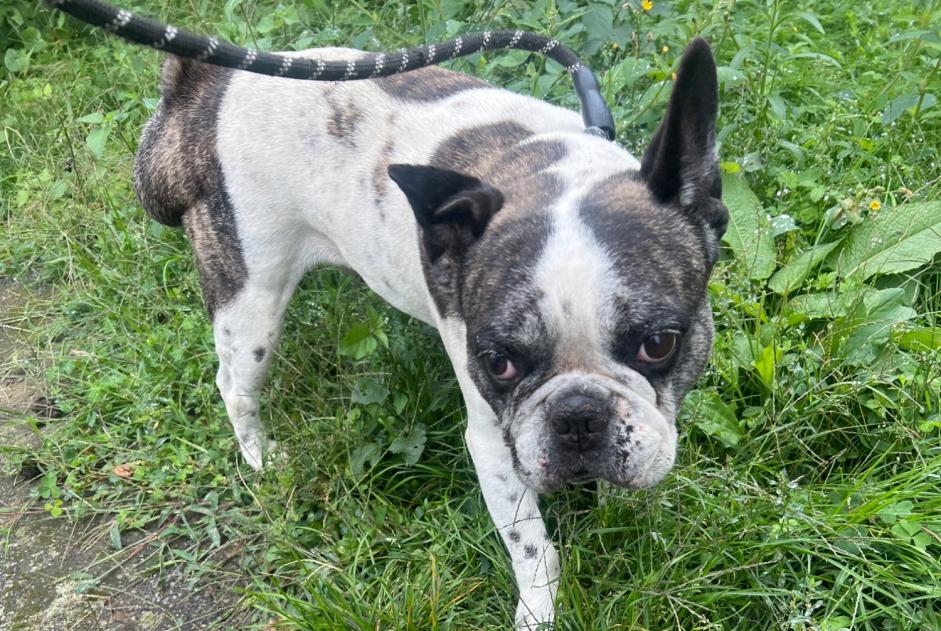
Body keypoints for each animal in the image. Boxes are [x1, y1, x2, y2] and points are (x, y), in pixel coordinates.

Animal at [134, 38, 728, 628]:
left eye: (659, 344)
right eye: (498, 362)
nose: (578, 413)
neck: (545, 172)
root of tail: (207, 84)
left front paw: (623, 510)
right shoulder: (493, 442)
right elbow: (532, 547)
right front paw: (538, 611)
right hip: (252, 300)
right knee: (234, 385)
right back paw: (260, 457)